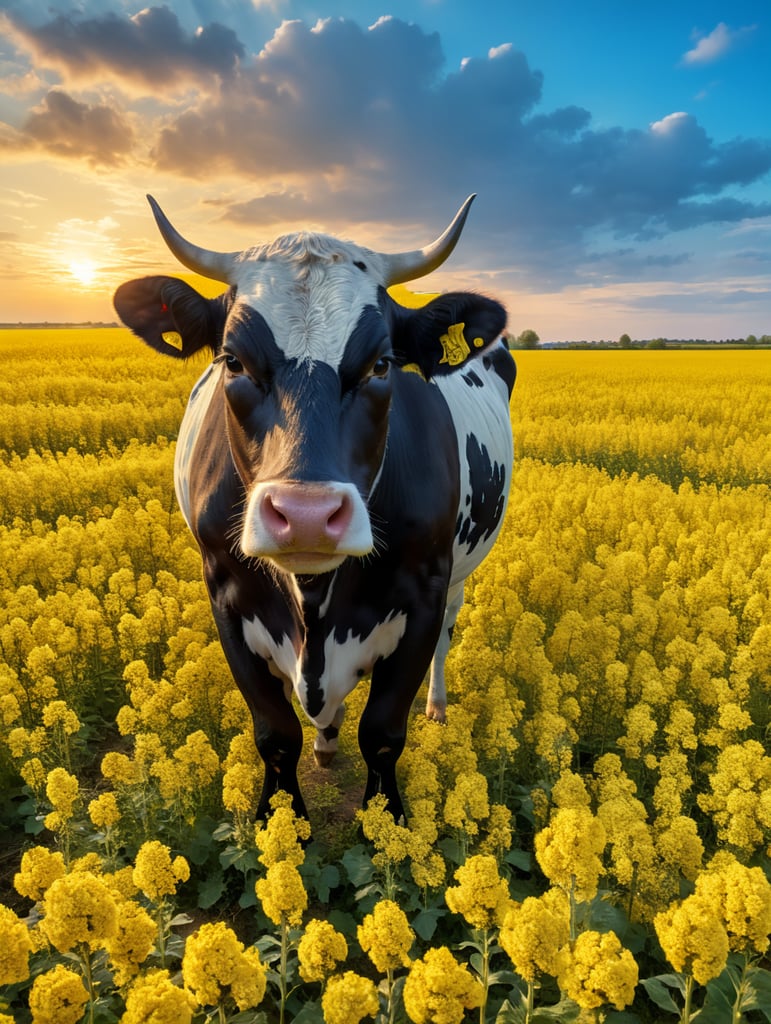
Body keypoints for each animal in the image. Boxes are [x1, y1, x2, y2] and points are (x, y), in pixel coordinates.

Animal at [114, 194, 515, 824]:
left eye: (382, 364)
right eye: (232, 360)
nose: (305, 516)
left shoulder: (424, 590)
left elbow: (383, 733)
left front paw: (387, 826)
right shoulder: (226, 592)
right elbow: (276, 734)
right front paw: (279, 824)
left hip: (457, 578)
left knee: (448, 635)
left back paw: (436, 706)